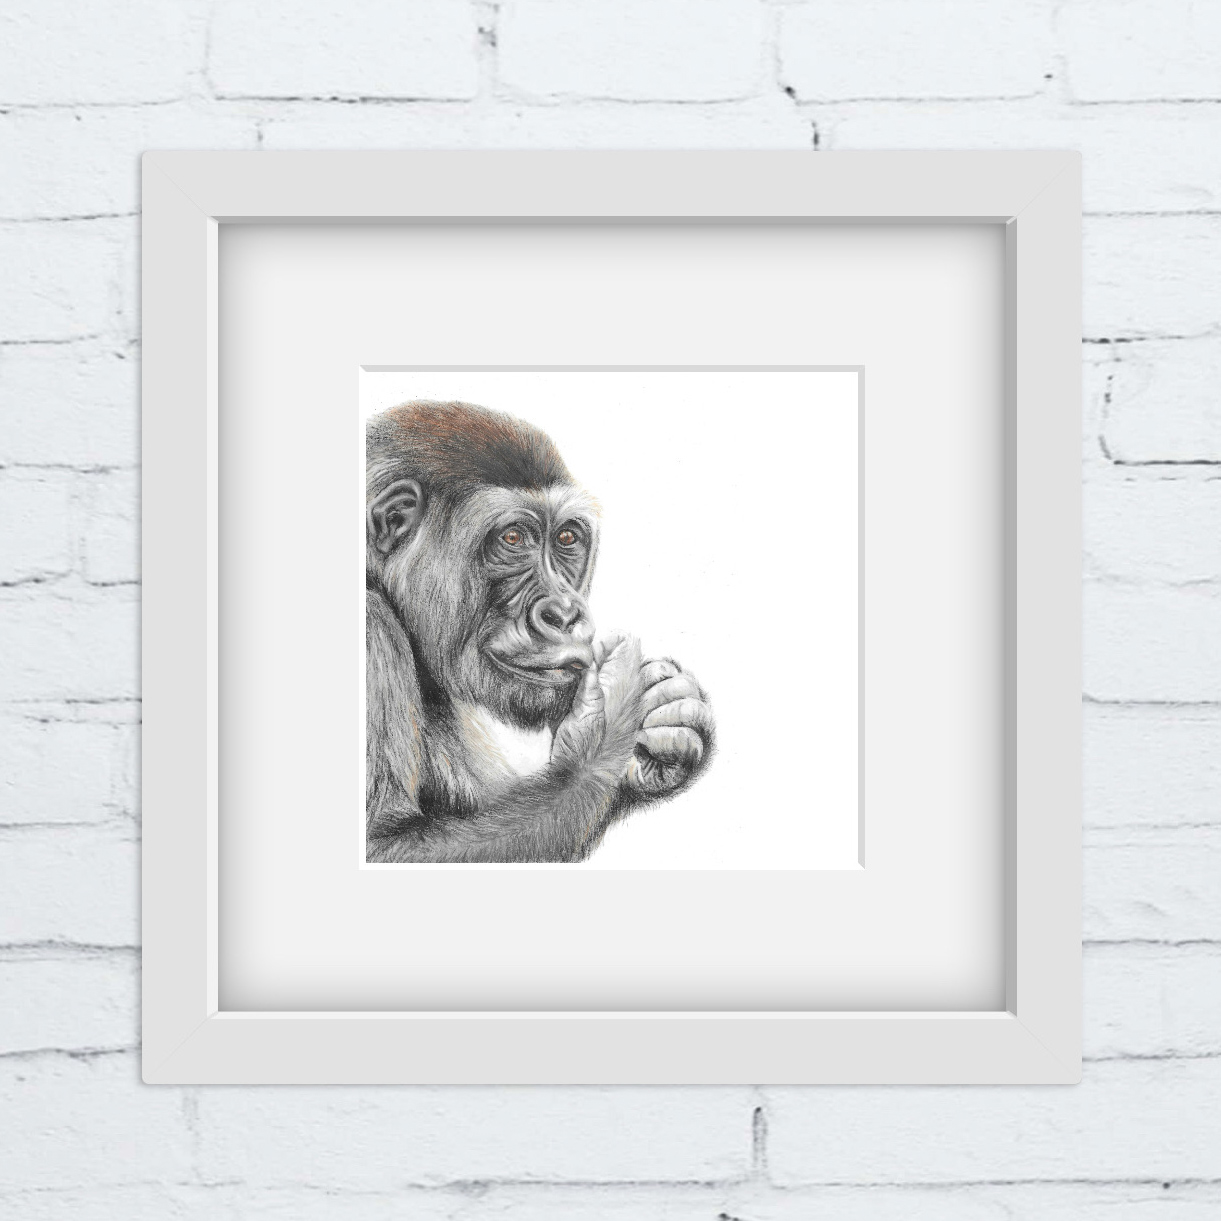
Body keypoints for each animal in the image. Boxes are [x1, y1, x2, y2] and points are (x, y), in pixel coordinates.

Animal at [365, 400, 715, 863]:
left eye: (566, 537)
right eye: (513, 538)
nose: (565, 612)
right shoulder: (371, 633)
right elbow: (384, 843)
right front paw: (605, 732)